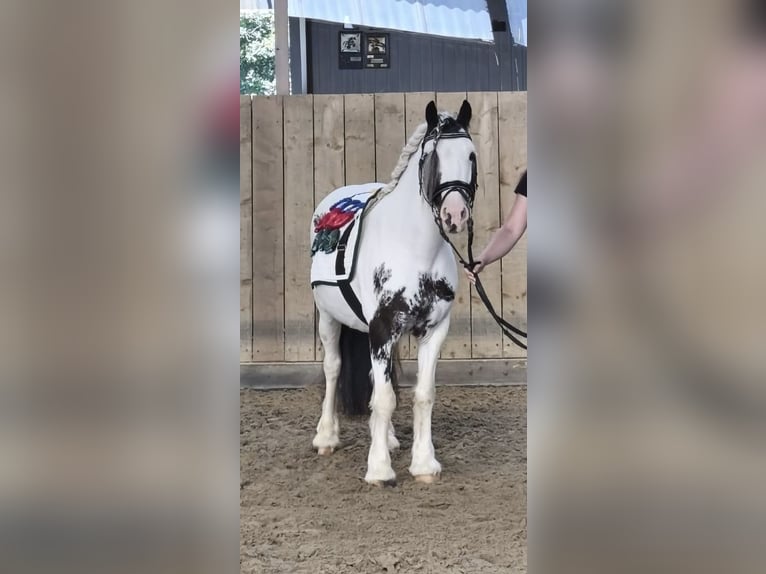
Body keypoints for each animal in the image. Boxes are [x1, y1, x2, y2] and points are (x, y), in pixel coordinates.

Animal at [309, 100, 477, 486]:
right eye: (432, 157)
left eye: (471, 155)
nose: (455, 214)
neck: (415, 250)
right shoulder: (382, 329)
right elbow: (384, 398)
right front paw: (379, 469)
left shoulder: (433, 330)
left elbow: (422, 395)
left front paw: (424, 464)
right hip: (329, 318)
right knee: (333, 369)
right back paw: (326, 438)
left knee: (376, 381)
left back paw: (386, 438)